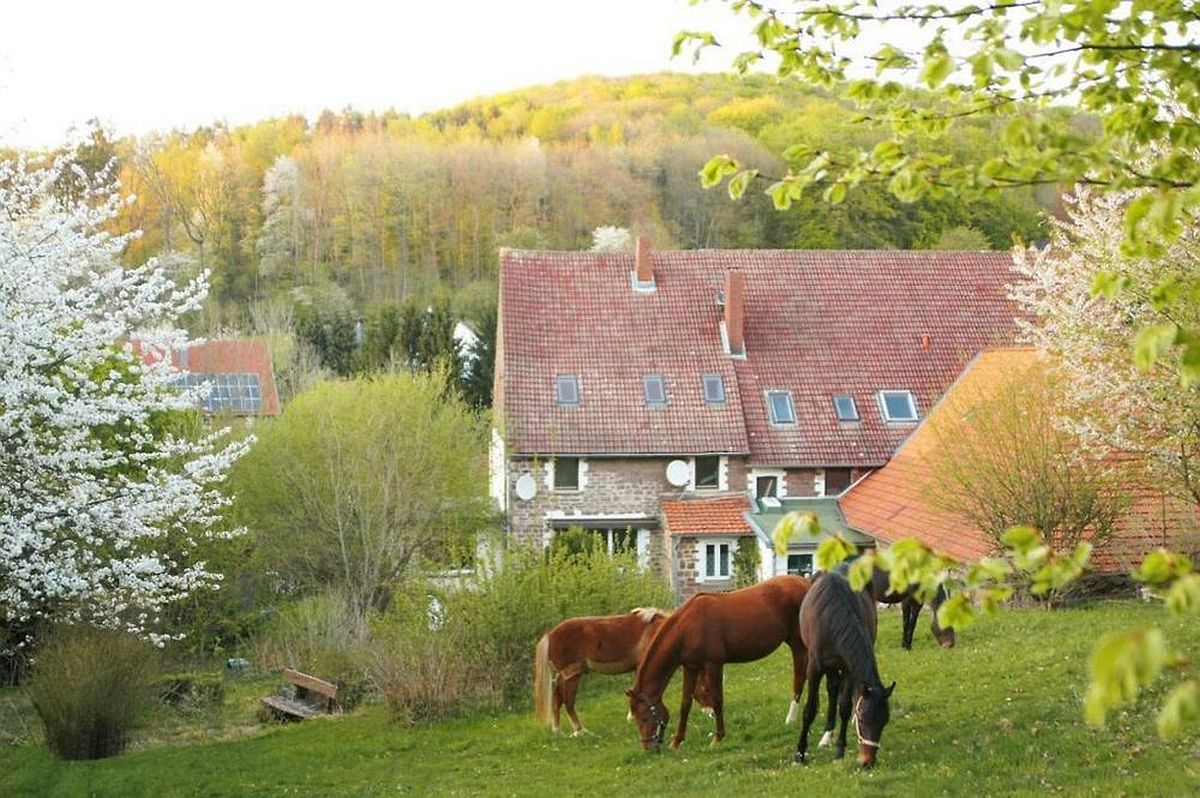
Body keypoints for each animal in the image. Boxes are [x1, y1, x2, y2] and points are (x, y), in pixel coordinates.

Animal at [535, 609, 710, 734]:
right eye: (705, 688)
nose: (711, 712)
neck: (659, 632)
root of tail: (550, 635)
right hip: (572, 675)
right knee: (568, 702)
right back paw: (580, 731)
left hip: (563, 676)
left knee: (556, 699)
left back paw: (557, 730)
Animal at [624, 573, 811, 748]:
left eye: (644, 716)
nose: (648, 747)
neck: (688, 626)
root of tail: (807, 583)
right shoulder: (690, 667)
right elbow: (685, 703)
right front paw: (677, 741)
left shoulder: (713, 664)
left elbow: (717, 699)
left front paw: (718, 738)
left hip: (799, 643)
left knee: (799, 678)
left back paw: (791, 719)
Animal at [792, 566, 897, 768]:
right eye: (862, 718)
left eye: (885, 721)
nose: (867, 762)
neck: (831, 618)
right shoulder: (815, 669)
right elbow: (809, 710)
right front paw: (800, 754)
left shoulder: (848, 669)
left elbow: (845, 707)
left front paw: (840, 750)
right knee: (831, 689)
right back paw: (826, 737)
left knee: (834, 690)